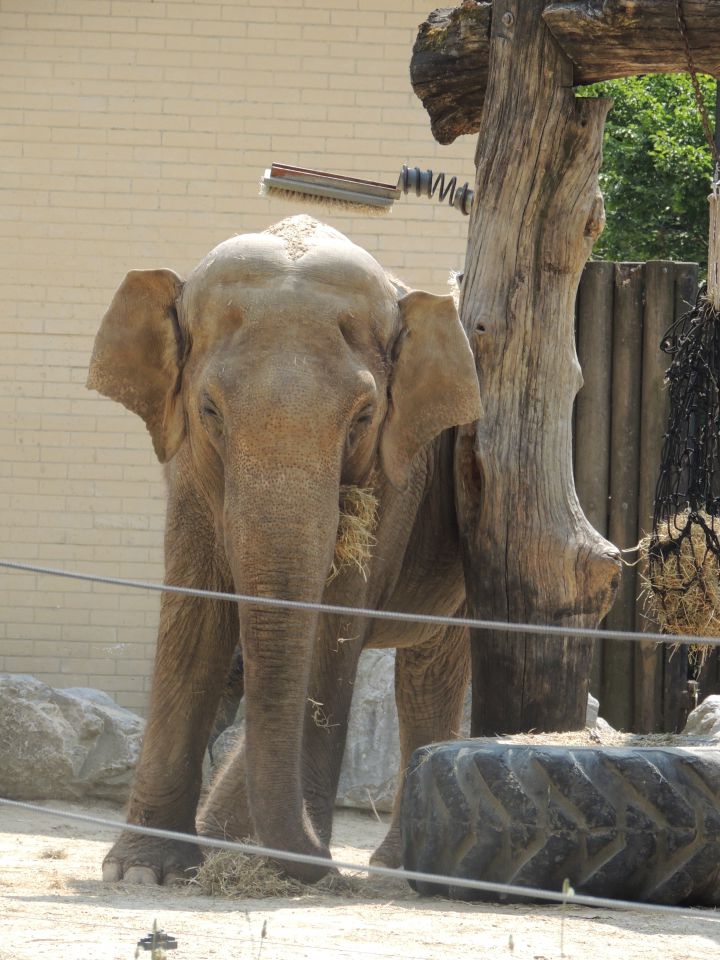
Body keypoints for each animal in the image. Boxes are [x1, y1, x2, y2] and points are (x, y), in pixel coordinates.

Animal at [88, 216, 484, 884]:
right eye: (209, 410)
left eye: (364, 417)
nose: (326, 861)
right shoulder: (187, 468)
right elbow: (195, 622)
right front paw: (145, 872)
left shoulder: (397, 476)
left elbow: (332, 627)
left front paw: (273, 861)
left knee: (430, 671)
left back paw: (395, 870)